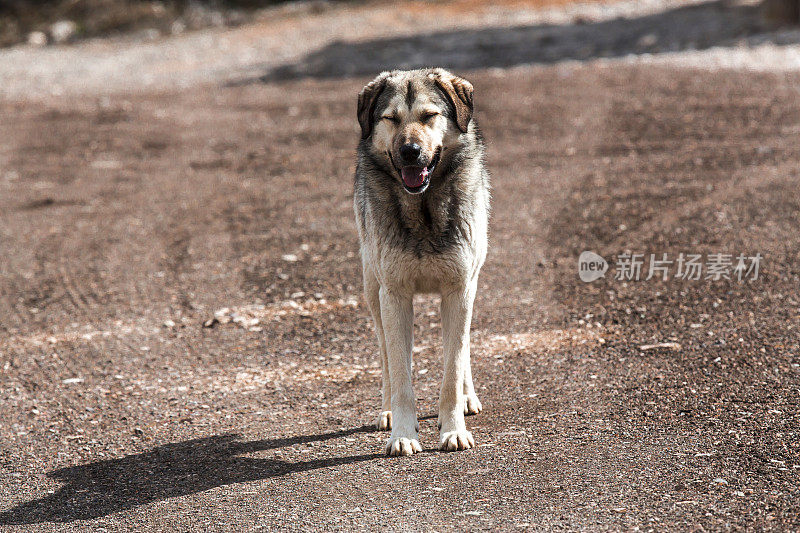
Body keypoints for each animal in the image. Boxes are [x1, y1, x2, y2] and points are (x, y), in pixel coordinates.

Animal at [354, 68, 490, 456]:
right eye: (390, 118)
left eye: (429, 115)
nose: (410, 151)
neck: (423, 211)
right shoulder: (395, 295)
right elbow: (400, 371)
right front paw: (402, 434)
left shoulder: (459, 291)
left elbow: (452, 369)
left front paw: (454, 429)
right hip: (373, 292)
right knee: (387, 355)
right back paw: (386, 411)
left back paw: (468, 397)